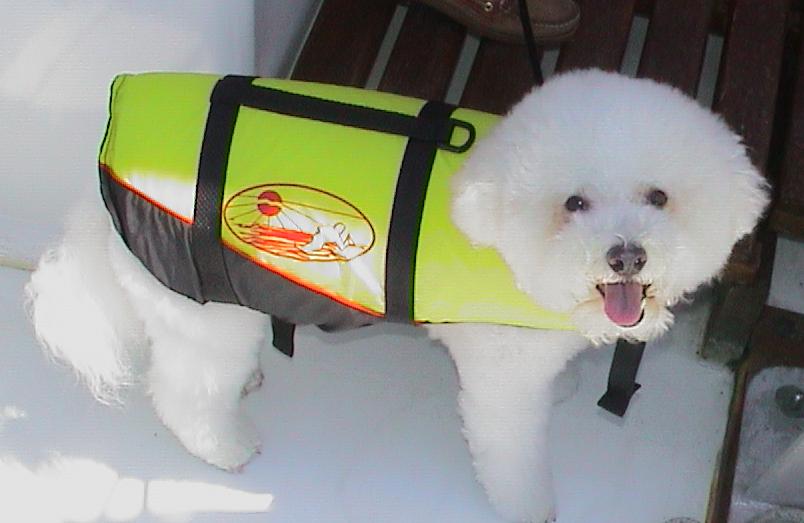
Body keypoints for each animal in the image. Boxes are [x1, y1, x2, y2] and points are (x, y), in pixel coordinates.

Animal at [27, 69, 769, 522]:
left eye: (659, 197)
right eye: (574, 204)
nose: (627, 254)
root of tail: (102, 188)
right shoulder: (500, 384)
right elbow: (513, 454)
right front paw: (529, 504)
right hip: (207, 311)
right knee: (184, 392)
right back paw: (223, 444)